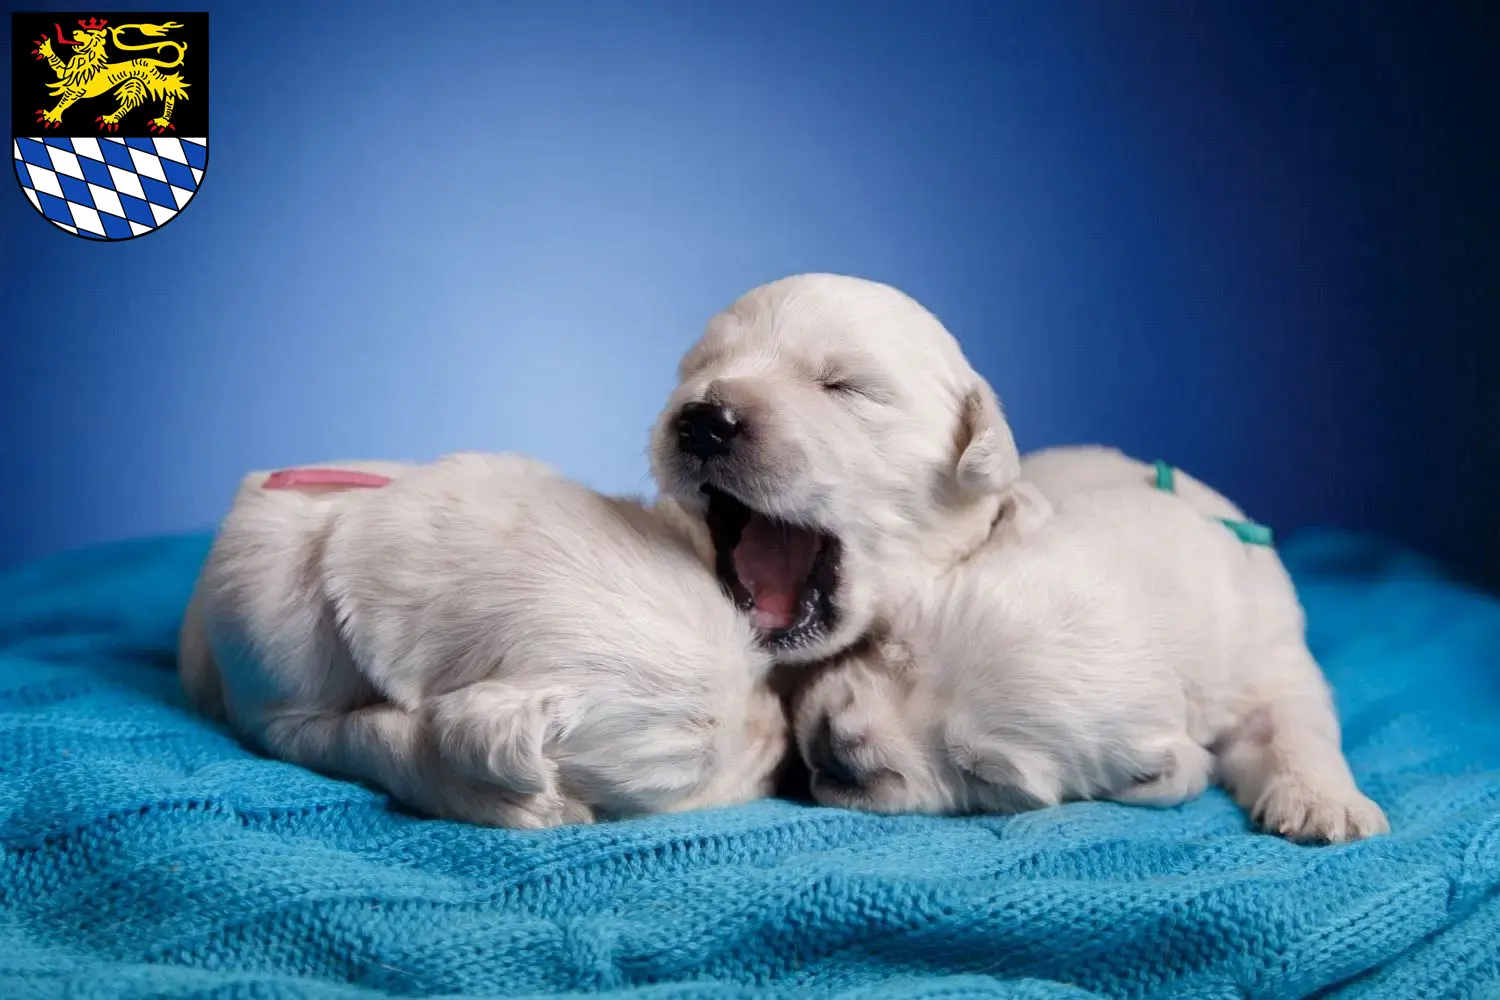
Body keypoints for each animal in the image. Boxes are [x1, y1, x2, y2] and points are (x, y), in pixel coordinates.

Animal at [792, 452, 1386, 845]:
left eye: (983, 776)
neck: (1164, 583)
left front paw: (1328, 805)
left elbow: (1290, 726)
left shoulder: (1268, 660)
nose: (837, 748)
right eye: (892, 644)